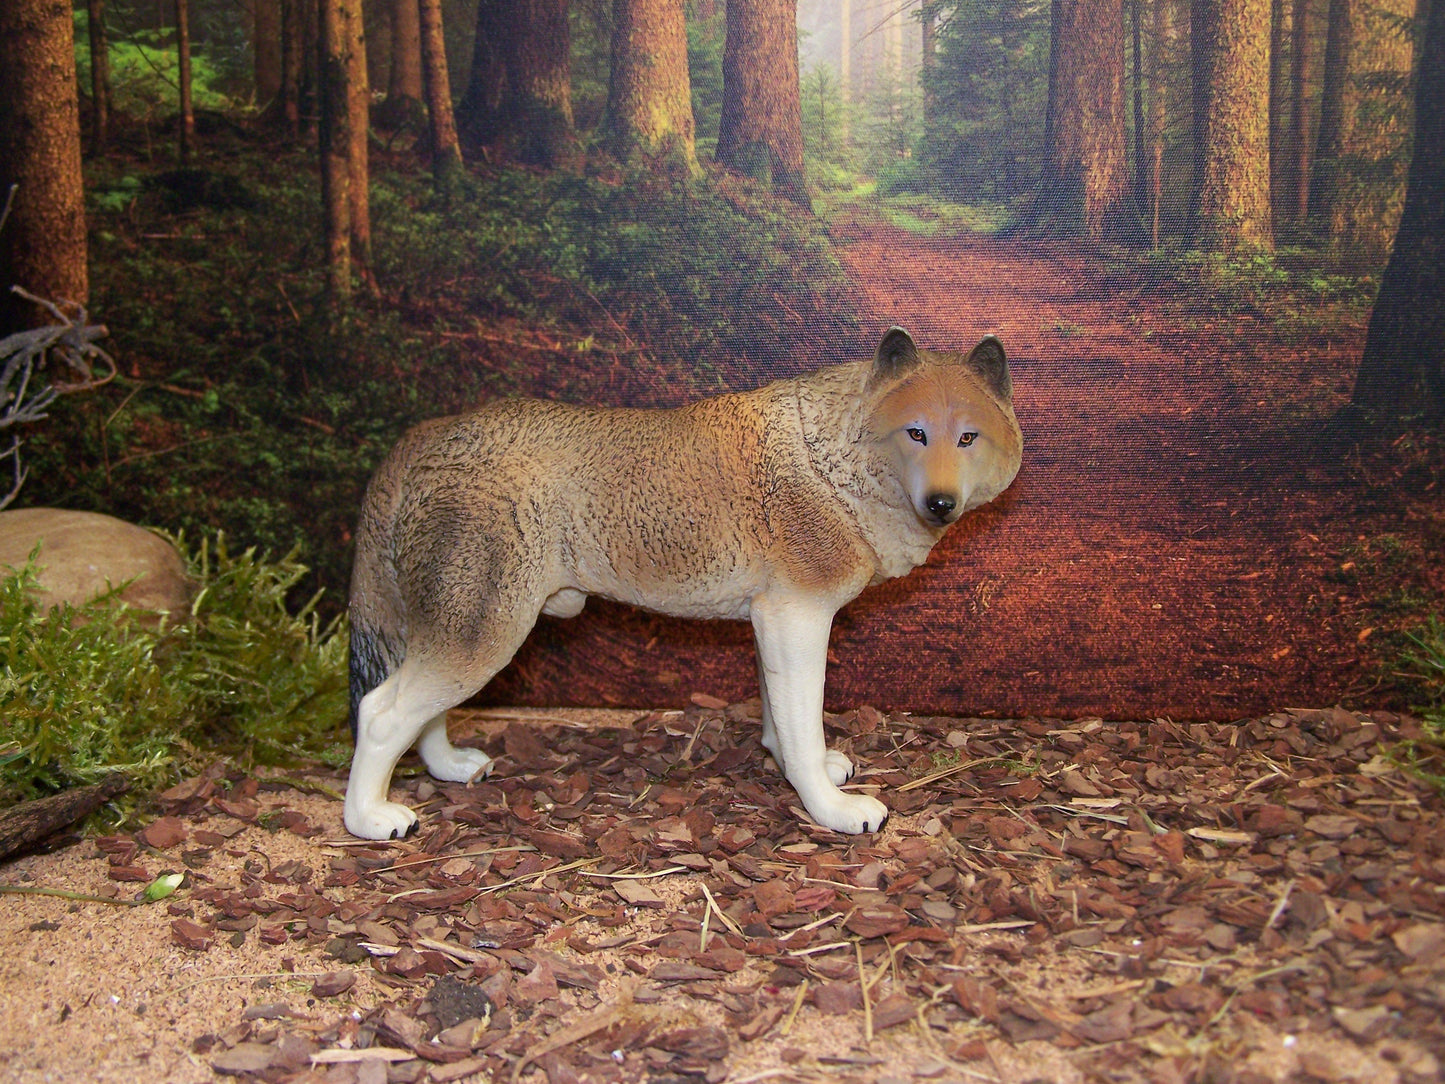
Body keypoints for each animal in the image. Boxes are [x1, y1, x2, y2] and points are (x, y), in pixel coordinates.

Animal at [344, 327, 1023, 840]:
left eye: (967, 437)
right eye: (916, 432)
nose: (941, 504)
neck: (832, 457)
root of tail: (428, 434)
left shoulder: (772, 619)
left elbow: (780, 719)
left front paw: (790, 765)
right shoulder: (798, 618)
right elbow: (804, 726)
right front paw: (829, 806)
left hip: (461, 627)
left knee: (421, 713)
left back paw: (450, 767)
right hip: (486, 633)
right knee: (379, 713)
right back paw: (371, 819)